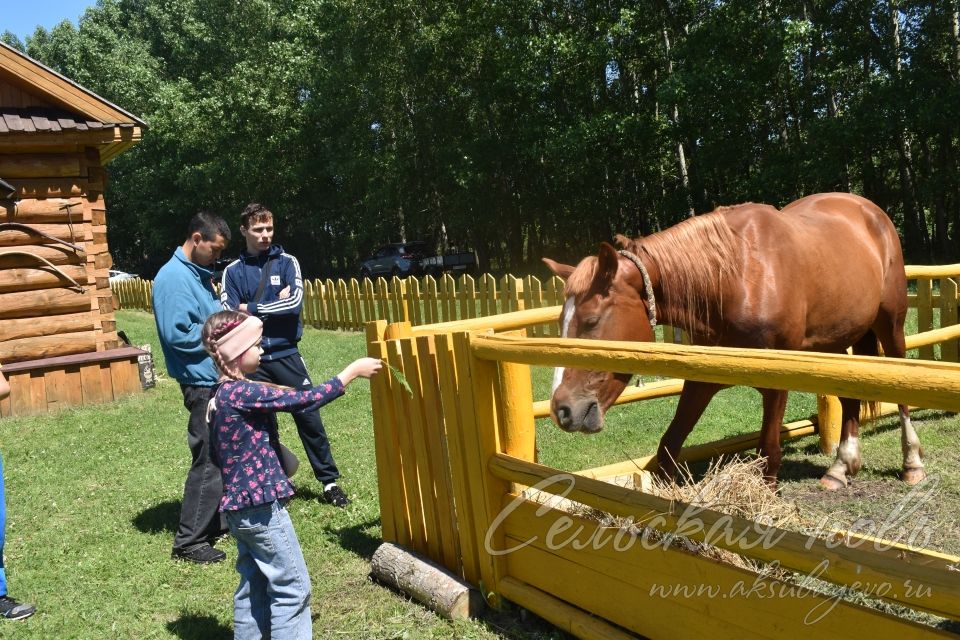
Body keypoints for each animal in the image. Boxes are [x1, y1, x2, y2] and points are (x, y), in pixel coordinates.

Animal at [544, 191, 928, 490]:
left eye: (592, 321)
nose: (562, 409)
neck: (734, 276)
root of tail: (869, 210)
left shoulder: (777, 381)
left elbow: (768, 454)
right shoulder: (703, 378)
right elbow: (668, 447)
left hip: (890, 325)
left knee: (902, 391)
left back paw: (912, 463)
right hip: (837, 340)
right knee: (850, 399)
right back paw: (840, 468)